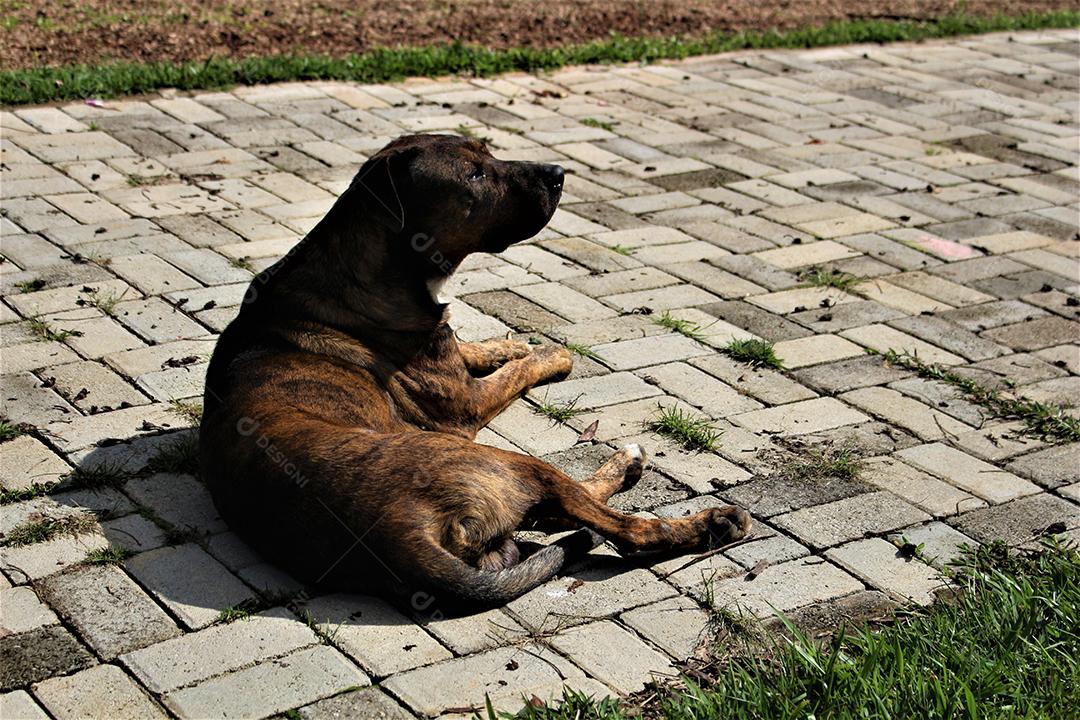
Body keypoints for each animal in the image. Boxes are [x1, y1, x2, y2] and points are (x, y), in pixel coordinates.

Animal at [203, 132, 756, 604]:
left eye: (488, 155)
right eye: (474, 175)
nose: (558, 173)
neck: (373, 267)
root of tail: (403, 540)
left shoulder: (449, 354)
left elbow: (472, 345)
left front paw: (504, 346)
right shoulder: (465, 405)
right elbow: (517, 372)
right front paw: (547, 355)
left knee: (559, 517)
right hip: (506, 463)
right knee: (620, 526)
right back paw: (700, 514)